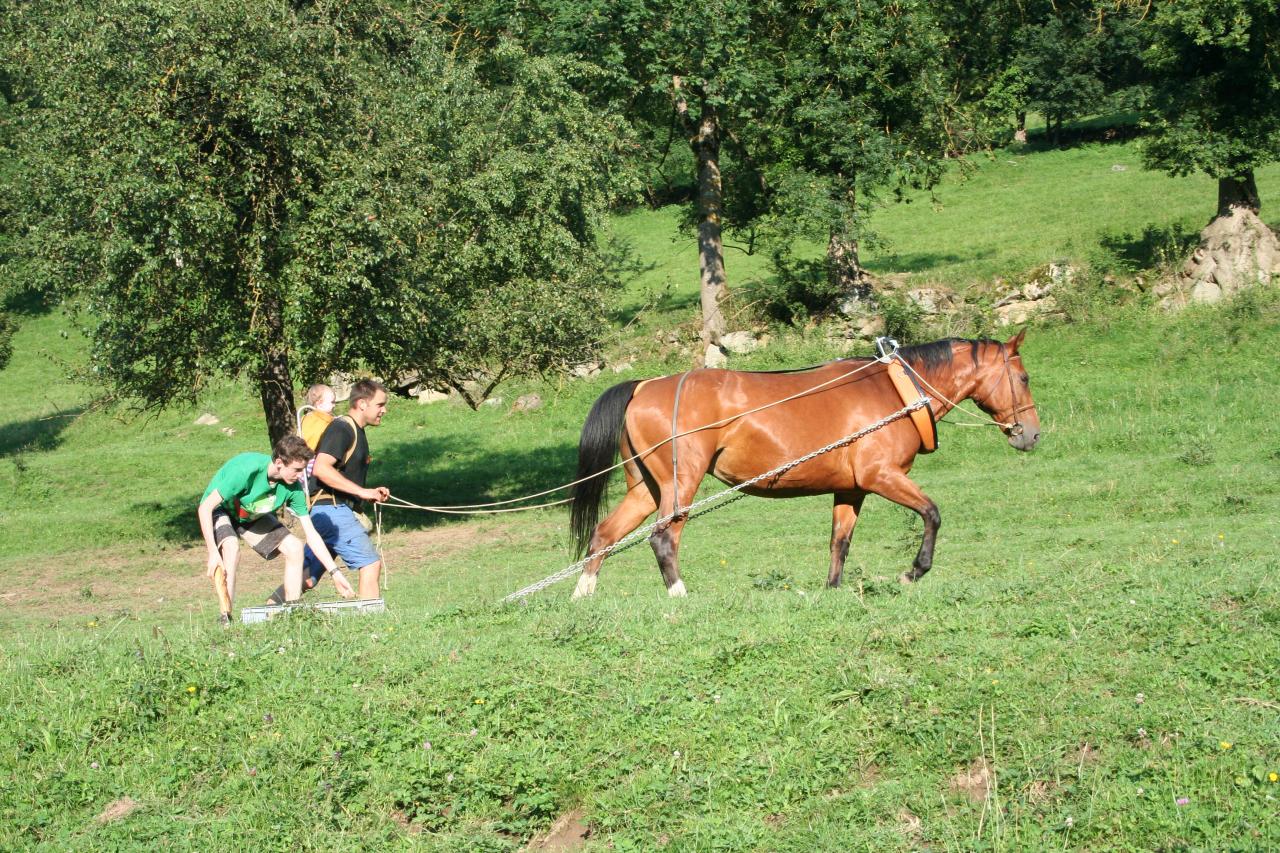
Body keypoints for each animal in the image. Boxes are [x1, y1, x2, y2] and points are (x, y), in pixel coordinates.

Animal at [570, 327, 1039, 594]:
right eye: (1024, 377)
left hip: (645, 489)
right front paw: (914, 571)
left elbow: (840, 541)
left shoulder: (852, 489)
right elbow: (932, 514)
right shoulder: (882, 476)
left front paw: (832, 590)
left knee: (604, 535)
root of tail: (646, 385)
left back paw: (583, 595)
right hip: (679, 484)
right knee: (663, 538)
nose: (1032, 433)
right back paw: (680, 595)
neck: (895, 391)